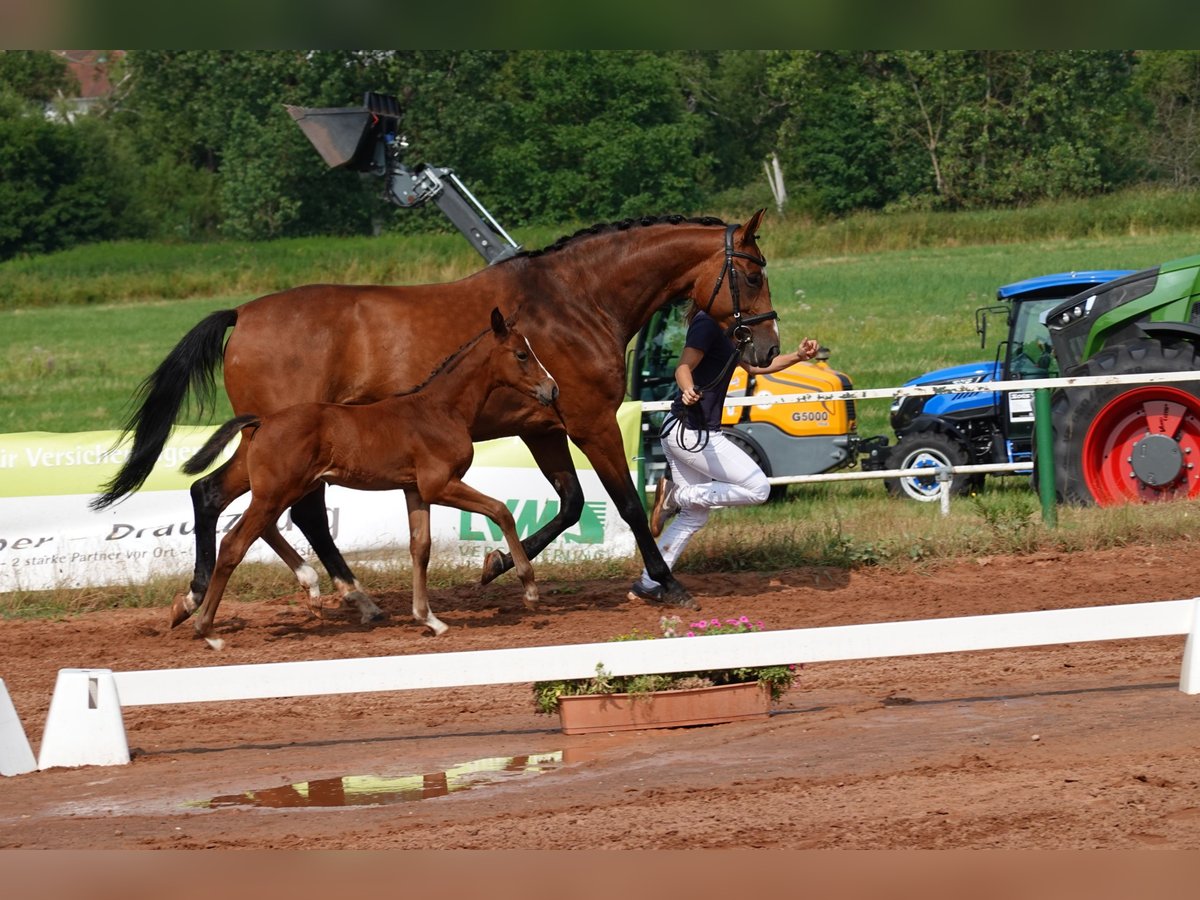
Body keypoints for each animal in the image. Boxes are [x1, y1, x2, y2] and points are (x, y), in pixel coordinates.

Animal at [180, 312, 559, 648]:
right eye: (522, 354)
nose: (552, 389)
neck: (440, 410)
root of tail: (262, 422)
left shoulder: (415, 490)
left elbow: (420, 547)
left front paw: (429, 619)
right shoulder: (440, 485)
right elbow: (501, 511)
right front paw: (529, 590)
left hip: (284, 490)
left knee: (263, 528)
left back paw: (310, 593)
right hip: (278, 491)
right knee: (235, 543)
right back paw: (207, 630)